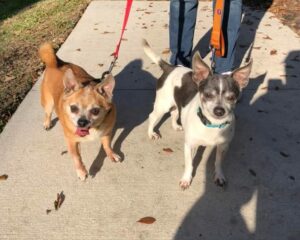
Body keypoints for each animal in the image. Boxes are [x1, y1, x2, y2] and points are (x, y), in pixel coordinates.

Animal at [39, 43, 120, 180]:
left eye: (95, 111)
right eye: (73, 108)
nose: (82, 122)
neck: (92, 129)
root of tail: (55, 63)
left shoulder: (106, 133)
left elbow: (107, 145)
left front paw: (111, 154)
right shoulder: (72, 142)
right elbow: (76, 156)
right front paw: (81, 171)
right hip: (49, 103)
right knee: (48, 112)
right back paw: (47, 123)